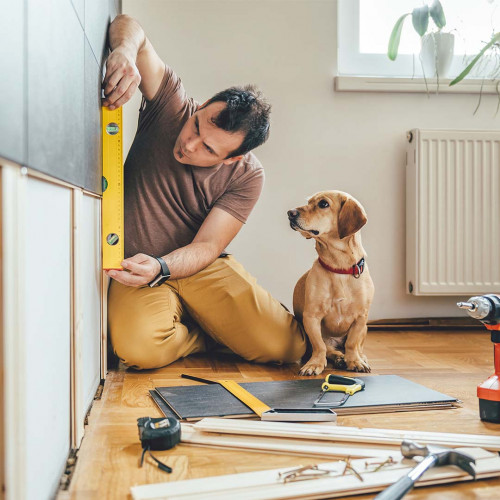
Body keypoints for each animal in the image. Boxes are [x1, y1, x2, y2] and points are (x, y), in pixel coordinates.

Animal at [288, 191, 374, 376]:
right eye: (308, 202)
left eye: (323, 204)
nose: (290, 213)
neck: (339, 268)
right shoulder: (311, 317)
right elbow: (320, 346)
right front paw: (315, 364)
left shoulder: (361, 318)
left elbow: (352, 343)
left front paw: (355, 361)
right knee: (330, 349)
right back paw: (339, 358)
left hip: (365, 328)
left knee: (356, 347)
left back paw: (358, 358)